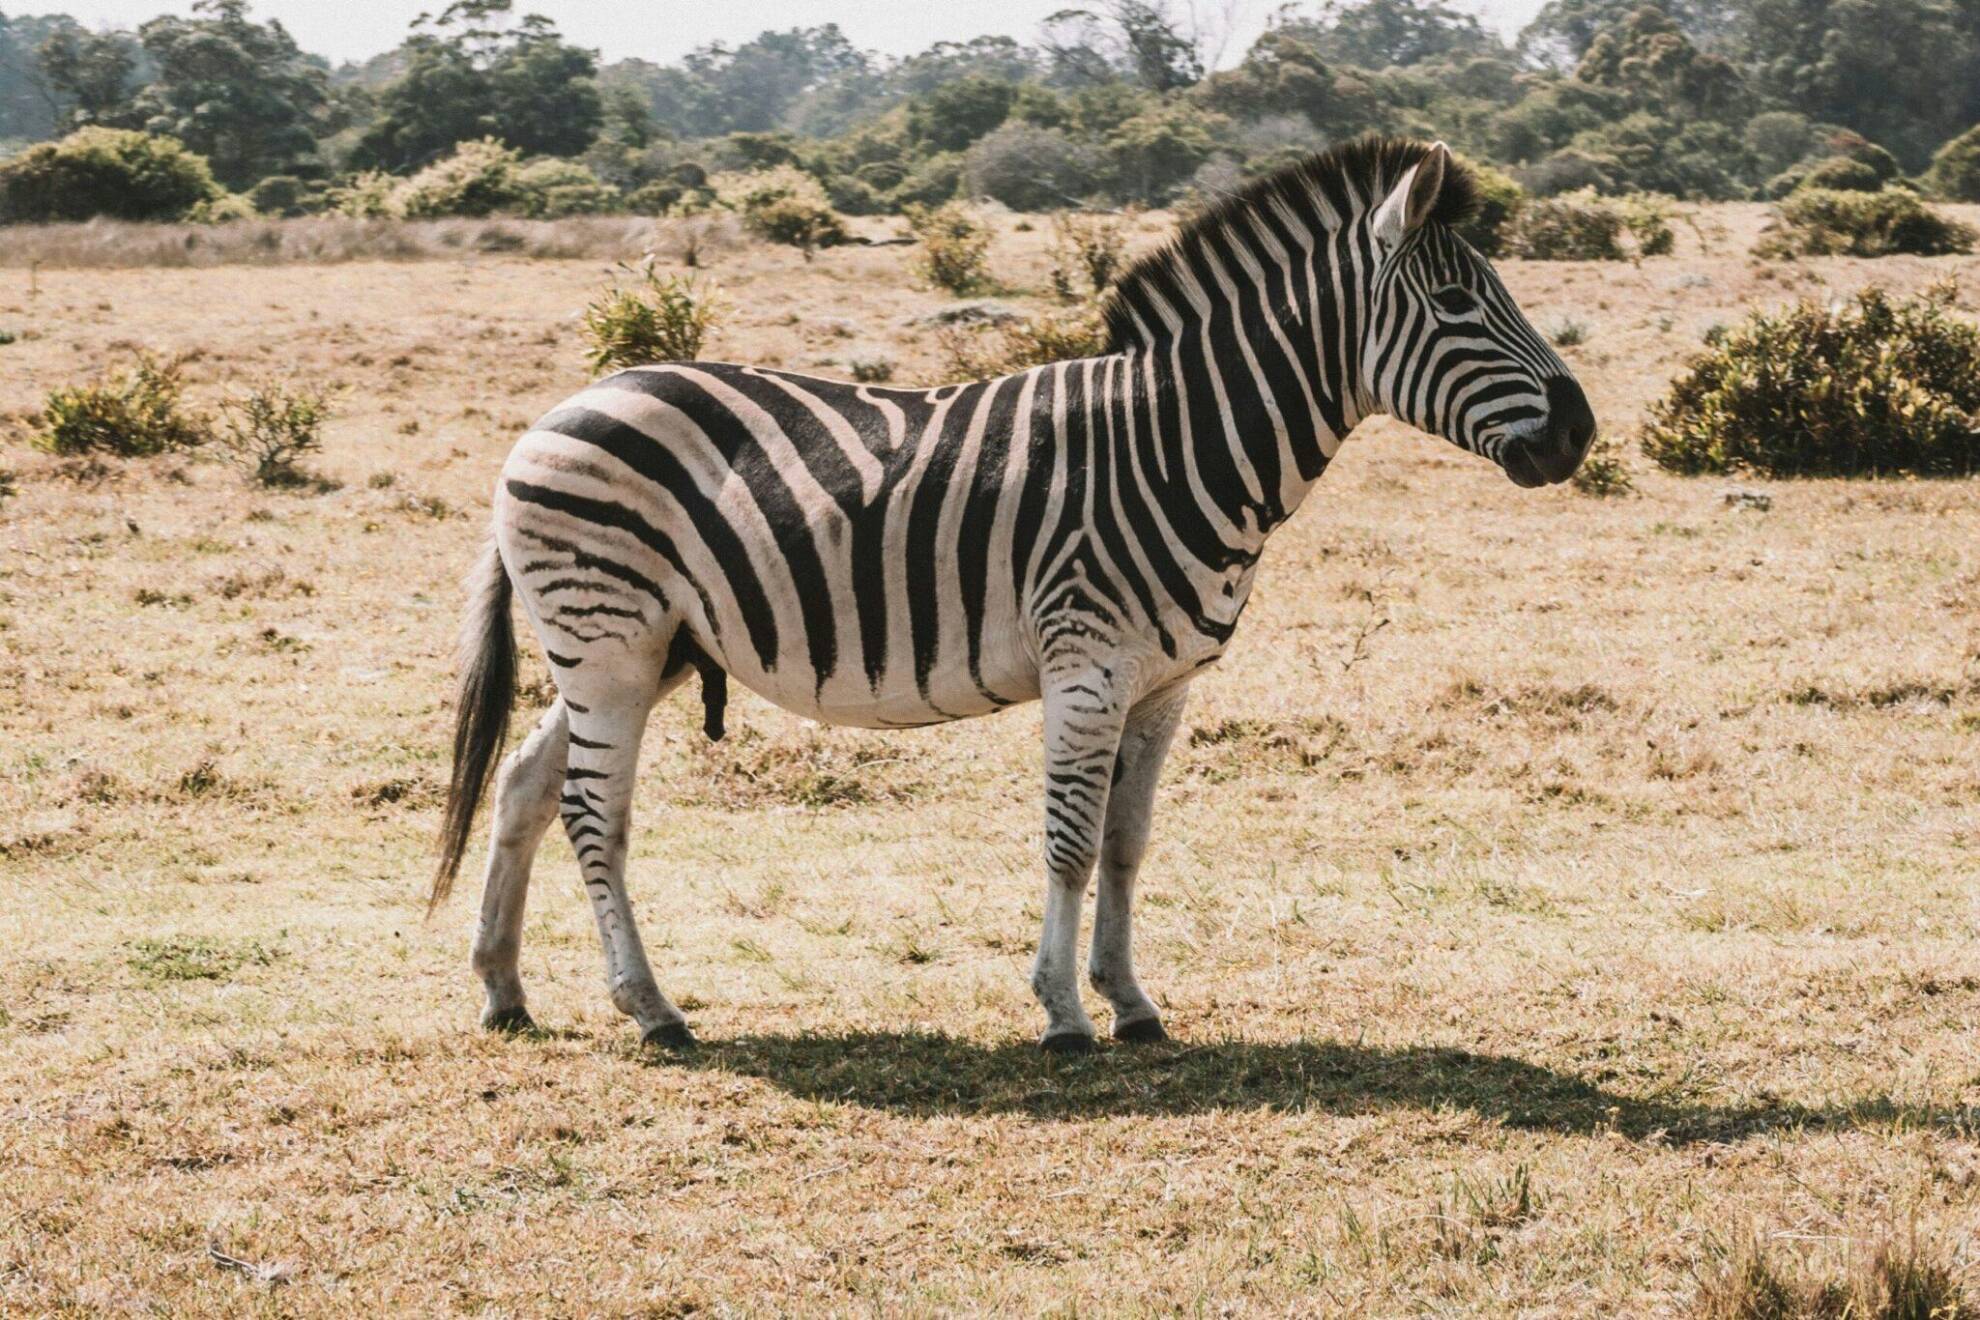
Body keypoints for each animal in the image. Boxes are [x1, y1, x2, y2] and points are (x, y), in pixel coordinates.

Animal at [431, 136, 1596, 1053]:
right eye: (1457, 302)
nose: (1580, 433)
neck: (1177, 446)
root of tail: (558, 410)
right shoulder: (1087, 664)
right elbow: (1070, 842)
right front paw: (1063, 1014)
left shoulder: (1164, 687)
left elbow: (1127, 844)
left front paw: (1131, 1003)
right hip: (610, 637)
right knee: (592, 810)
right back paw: (652, 1009)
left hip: (652, 646)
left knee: (526, 784)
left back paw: (504, 989)